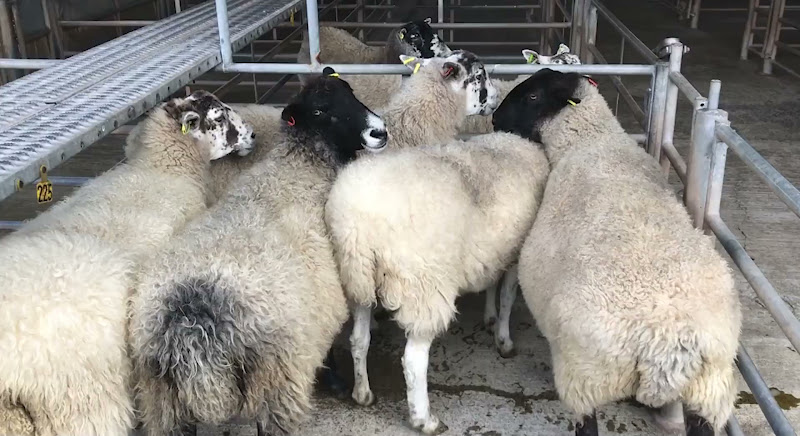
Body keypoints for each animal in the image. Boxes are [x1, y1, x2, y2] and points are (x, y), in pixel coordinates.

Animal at [128, 68, 388, 436]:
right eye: (320, 110)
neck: (304, 161)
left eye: (350, 92)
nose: (379, 132)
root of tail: (192, 326)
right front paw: (339, 382)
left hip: (164, 403)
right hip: (276, 385)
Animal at [325, 130, 550, 433]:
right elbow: (507, 299)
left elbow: (492, 286)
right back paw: (425, 420)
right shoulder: (517, 252)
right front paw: (503, 340)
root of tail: (355, 225)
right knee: (413, 360)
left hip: (358, 281)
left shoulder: (495, 250)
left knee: (359, 339)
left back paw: (363, 393)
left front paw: (489, 318)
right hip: (423, 286)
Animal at [492, 68, 741, 436]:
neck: (593, 139)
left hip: (585, 376)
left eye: (533, 96)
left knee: (586, 421)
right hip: (710, 391)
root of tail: (667, 345)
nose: (495, 120)